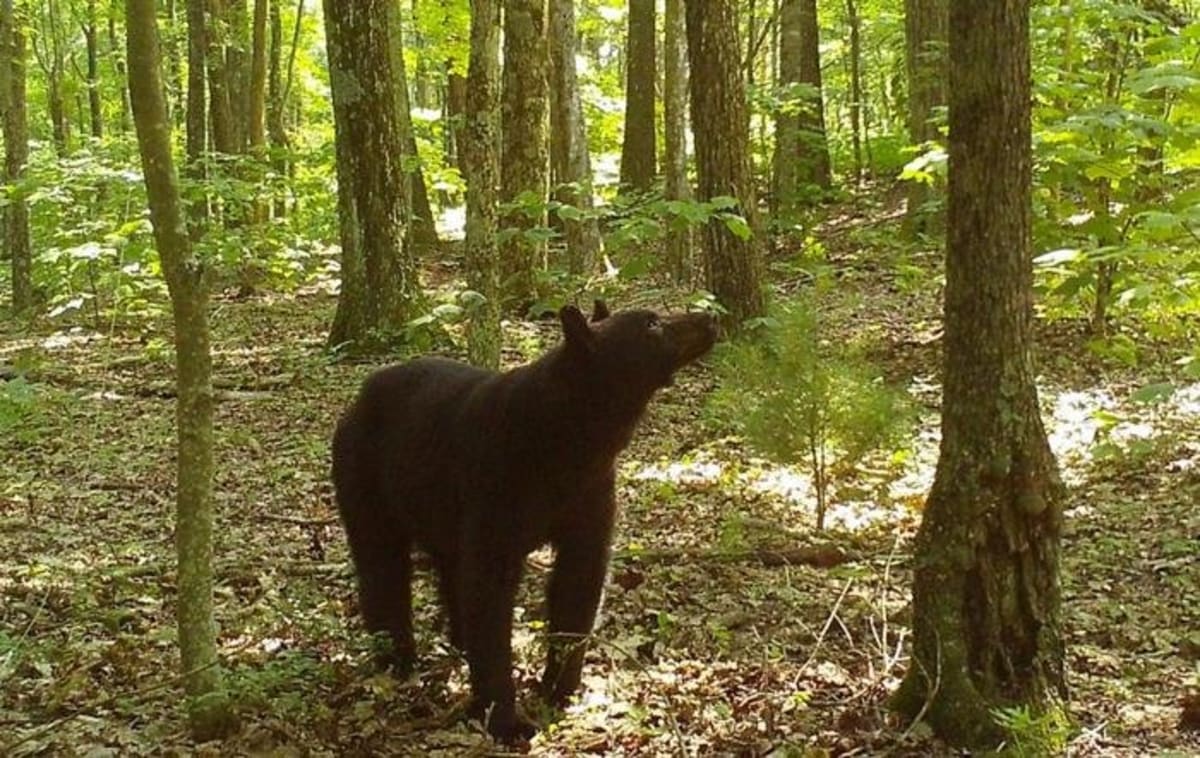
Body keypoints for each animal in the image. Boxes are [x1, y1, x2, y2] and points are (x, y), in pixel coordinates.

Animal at [331, 300, 718, 743]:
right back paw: (397, 659)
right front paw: (505, 718)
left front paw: (560, 689)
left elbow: (577, 587)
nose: (709, 317)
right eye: (651, 323)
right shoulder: (498, 492)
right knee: (382, 568)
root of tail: (357, 399)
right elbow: (490, 598)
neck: (572, 441)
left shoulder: (589, 499)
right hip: (365, 479)